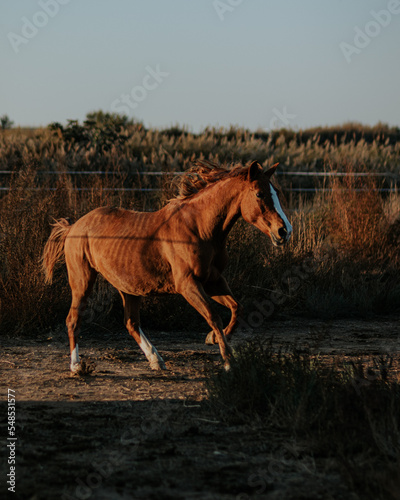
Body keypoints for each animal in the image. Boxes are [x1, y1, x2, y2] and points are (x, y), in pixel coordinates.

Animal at [42, 160, 292, 372]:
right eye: (259, 193)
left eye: (276, 193)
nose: (284, 231)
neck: (199, 228)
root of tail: (74, 226)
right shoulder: (188, 285)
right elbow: (214, 316)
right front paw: (228, 360)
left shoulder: (213, 280)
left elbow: (236, 309)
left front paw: (212, 339)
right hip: (82, 281)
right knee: (73, 319)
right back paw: (76, 366)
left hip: (128, 287)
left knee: (131, 323)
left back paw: (156, 360)